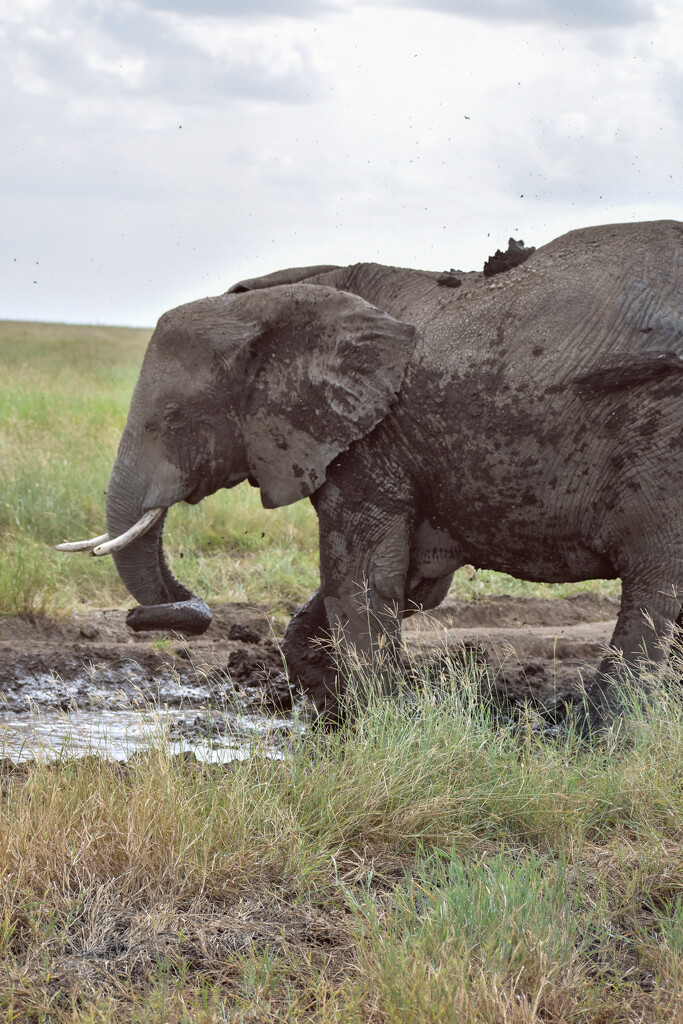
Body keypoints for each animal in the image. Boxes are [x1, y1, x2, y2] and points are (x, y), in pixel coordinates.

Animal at [58, 218, 683, 729]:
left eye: (171, 419)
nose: (138, 616)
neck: (286, 299)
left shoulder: (371, 441)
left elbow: (359, 576)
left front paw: (382, 720)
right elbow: (409, 583)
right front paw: (332, 707)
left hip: (661, 445)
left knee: (655, 586)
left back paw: (596, 736)